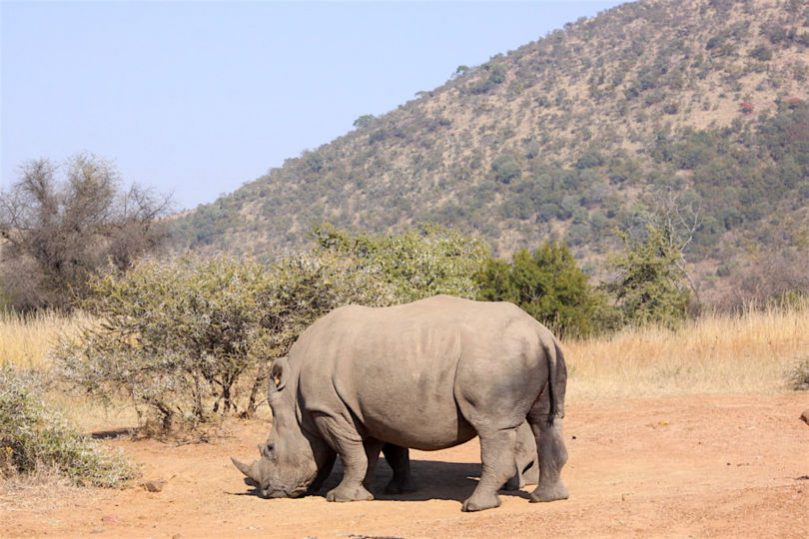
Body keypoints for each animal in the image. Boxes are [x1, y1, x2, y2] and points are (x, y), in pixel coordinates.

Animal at [232, 295, 568, 511]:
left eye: (270, 448)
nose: (267, 492)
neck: (296, 405)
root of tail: (540, 332)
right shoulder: (366, 412)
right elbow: (375, 453)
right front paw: (381, 492)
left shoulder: (329, 411)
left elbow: (351, 453)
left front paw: (339, 498)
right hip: (526, 351)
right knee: (544, 422)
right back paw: (545, 499)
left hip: (495, 359)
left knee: (493, 429)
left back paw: (475, 506)